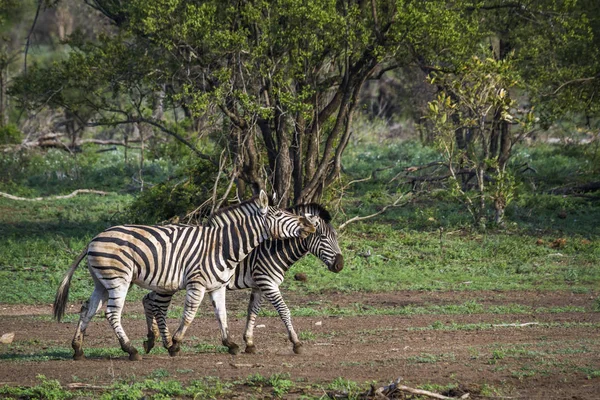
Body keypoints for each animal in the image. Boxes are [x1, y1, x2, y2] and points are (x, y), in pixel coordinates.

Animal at [54, 190, 318, 360]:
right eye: (280, 215)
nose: (310, 225)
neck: (224, 245)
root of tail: (94, 238)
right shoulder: (197, 283)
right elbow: (189, 315)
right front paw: (175, 344)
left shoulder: (217, 286)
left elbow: (222, 315)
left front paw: (230, 344)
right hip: (119, 280)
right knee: (112, 313)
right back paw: (131, 350)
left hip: (102, 281)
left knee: (88, 309)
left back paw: (78, 349)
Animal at [141, 203, 344, 354]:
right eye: (323, 236)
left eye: (335, 236)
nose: (340, 265)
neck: (271, 248)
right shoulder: (267, 281)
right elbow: (284, 310)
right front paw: (296, 343)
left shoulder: (259, 285)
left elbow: (252, 311)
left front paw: (249, 343)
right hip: (168, 282)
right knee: (157, 305)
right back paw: (166, 342)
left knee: (147, 299)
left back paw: (151, 340)